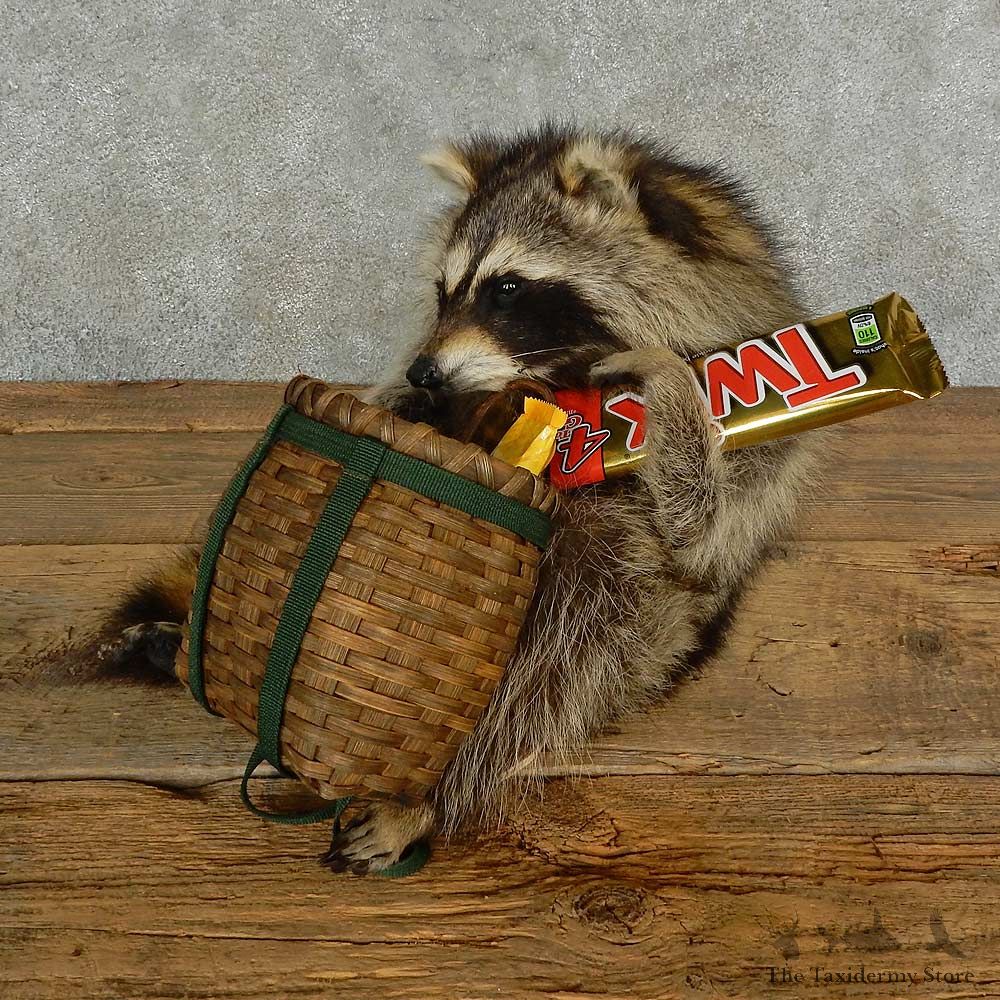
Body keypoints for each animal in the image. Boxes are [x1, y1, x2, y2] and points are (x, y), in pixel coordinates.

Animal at [104, 124, 817, 874]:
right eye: (445, 292)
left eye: (507, 288)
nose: (427, 372)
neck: (561, 383)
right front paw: (408, 405)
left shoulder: (752, 456)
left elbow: (695, 528)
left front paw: (667, 381)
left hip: (650, 621)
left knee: (576, 633)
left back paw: (426, 793)